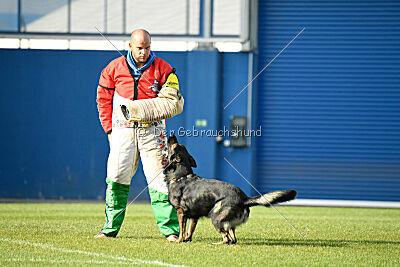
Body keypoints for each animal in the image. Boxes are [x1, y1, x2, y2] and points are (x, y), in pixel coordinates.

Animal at [162, 136, 296, 245]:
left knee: (227, 239)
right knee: (233, 239)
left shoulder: (181, 212)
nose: (172, 135)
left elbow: (182, 230)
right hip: (228, 224)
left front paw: (179, 240)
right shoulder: (194, 216)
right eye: (179, 145)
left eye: (174, 145)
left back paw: (214, 244)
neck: (181, 175)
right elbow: (189, 231)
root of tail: (244, 198)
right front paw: (186, 240)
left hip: (215, 218)